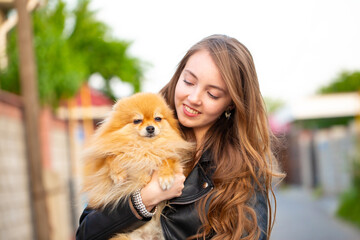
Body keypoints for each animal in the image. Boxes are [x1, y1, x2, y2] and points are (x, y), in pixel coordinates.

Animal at [81, 92, 194, 240]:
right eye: (137, 121)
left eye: (157, 118)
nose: (150, 127)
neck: (145, 149)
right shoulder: (101, 166)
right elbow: (111, 157)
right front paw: (118, 174)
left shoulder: (173, 155)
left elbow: (167, 159)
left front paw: (166, 178)